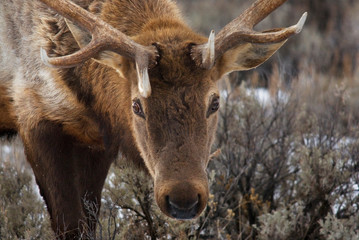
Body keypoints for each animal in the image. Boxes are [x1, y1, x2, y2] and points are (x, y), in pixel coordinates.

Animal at [0, 0, 306, 237]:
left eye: (215, 102)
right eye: (137, 105)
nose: (183, 199)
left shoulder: (95, 142)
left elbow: (88, 222)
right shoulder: (33, 113)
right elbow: (70, 226)